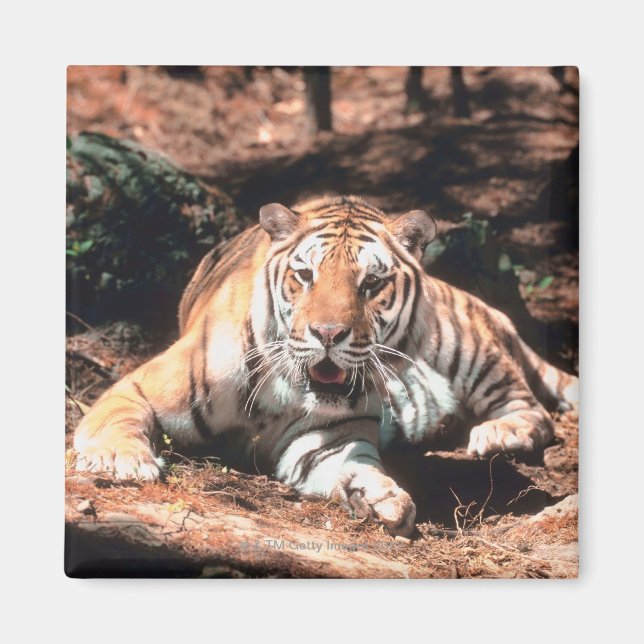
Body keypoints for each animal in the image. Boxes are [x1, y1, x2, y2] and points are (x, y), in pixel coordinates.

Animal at [73, 195, 578, 537]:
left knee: (532, 409)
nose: (329, 334)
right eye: (305, 275)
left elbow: (355, 461)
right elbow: (118, 419)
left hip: (462, 346)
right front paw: (121, 461)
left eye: (371, 283)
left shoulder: (329, 436)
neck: (284, 387)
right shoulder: (138, 386)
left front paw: (380, 497)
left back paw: (499, 434)